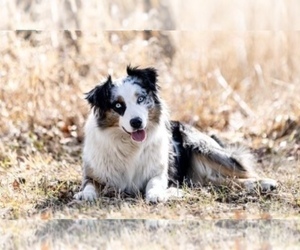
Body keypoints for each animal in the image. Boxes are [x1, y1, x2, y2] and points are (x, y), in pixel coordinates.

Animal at [74, 65, 276, 202]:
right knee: (225, 181)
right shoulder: (92, 174)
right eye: (118, 105)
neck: (129, 145)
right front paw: (84, 194)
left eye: (141, 98)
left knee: (242, 173)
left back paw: (266, 182)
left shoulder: (159, 172)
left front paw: (157, 194)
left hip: (203, 146)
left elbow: (154, 183)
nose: (136, 122)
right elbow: (89, 186)